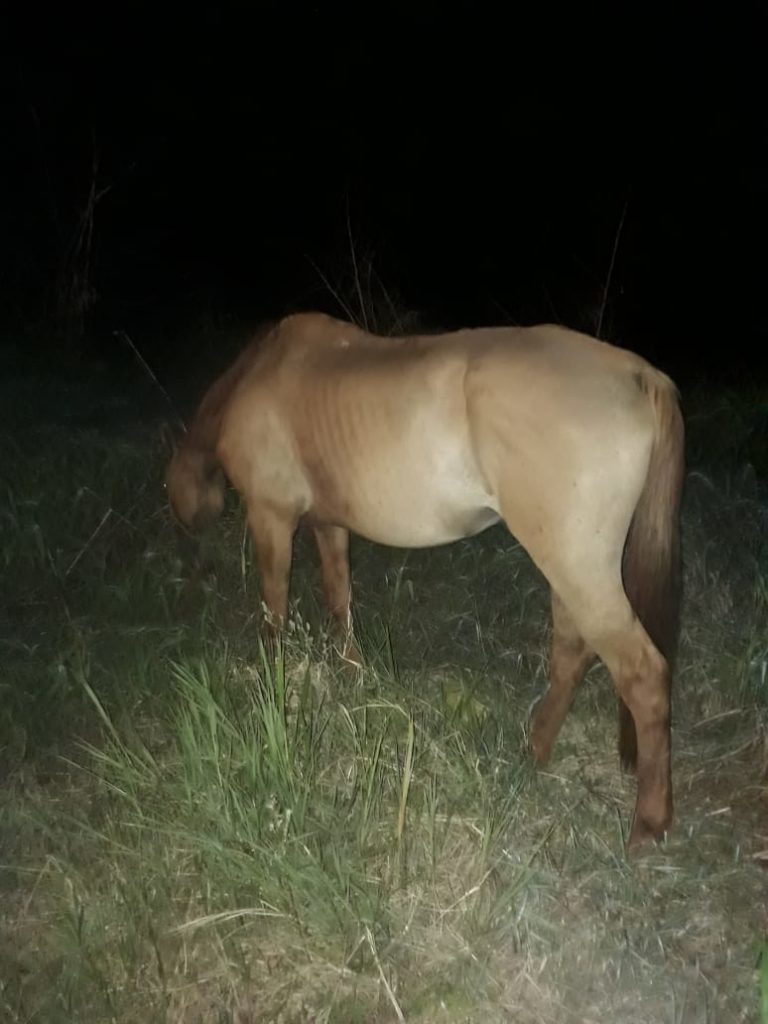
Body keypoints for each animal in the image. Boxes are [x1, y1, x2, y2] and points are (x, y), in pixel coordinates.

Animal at [166, 311, 684, 851]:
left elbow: (274, 613)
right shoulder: (330, 525)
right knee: (572, 652)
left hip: (577, 567)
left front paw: (272, 687)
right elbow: (339, 600)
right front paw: (353, 676)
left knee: (643, 675)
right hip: (568, 567)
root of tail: (639, 373)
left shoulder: (271, 519)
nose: (191, 579)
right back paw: (534, 752)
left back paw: (648, 823)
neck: (259, 373)